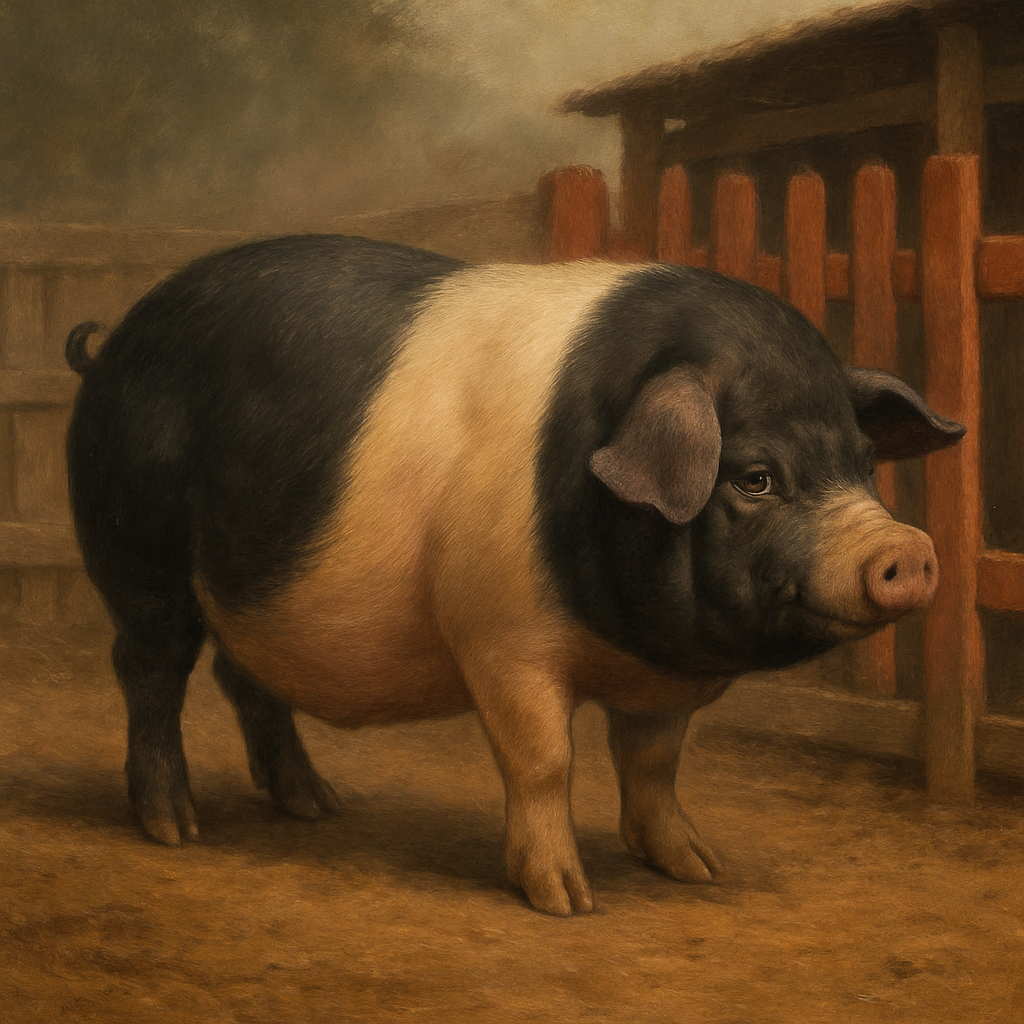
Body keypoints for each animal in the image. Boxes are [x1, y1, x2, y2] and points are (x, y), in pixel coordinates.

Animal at [65, 234, 964, 915]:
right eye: (754, 478)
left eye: (863, 463)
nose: (912, 550)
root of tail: (111, 348)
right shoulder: (502, 641)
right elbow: (544, 761)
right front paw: (568, 902)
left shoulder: (658, 679)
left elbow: (653, 766)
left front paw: (699, 869)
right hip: (138, 555)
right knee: (147, 672)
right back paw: (176, 829)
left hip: (250, 595)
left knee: (243, 678)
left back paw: (317, 807)